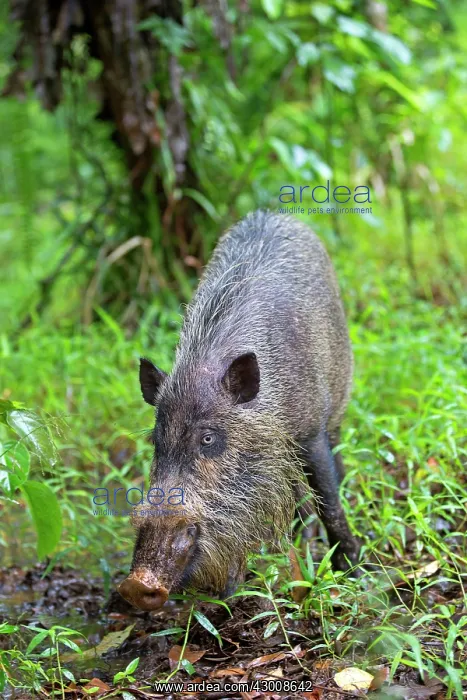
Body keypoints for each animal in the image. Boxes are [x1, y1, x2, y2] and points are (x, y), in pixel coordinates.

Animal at [118, 211, 360, 611]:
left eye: (208, 438)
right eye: (156, 440)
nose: (135, 584)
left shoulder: (310, 431)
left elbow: (330, 500)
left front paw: (352, 570)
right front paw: (232, 594)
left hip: (338, 401)